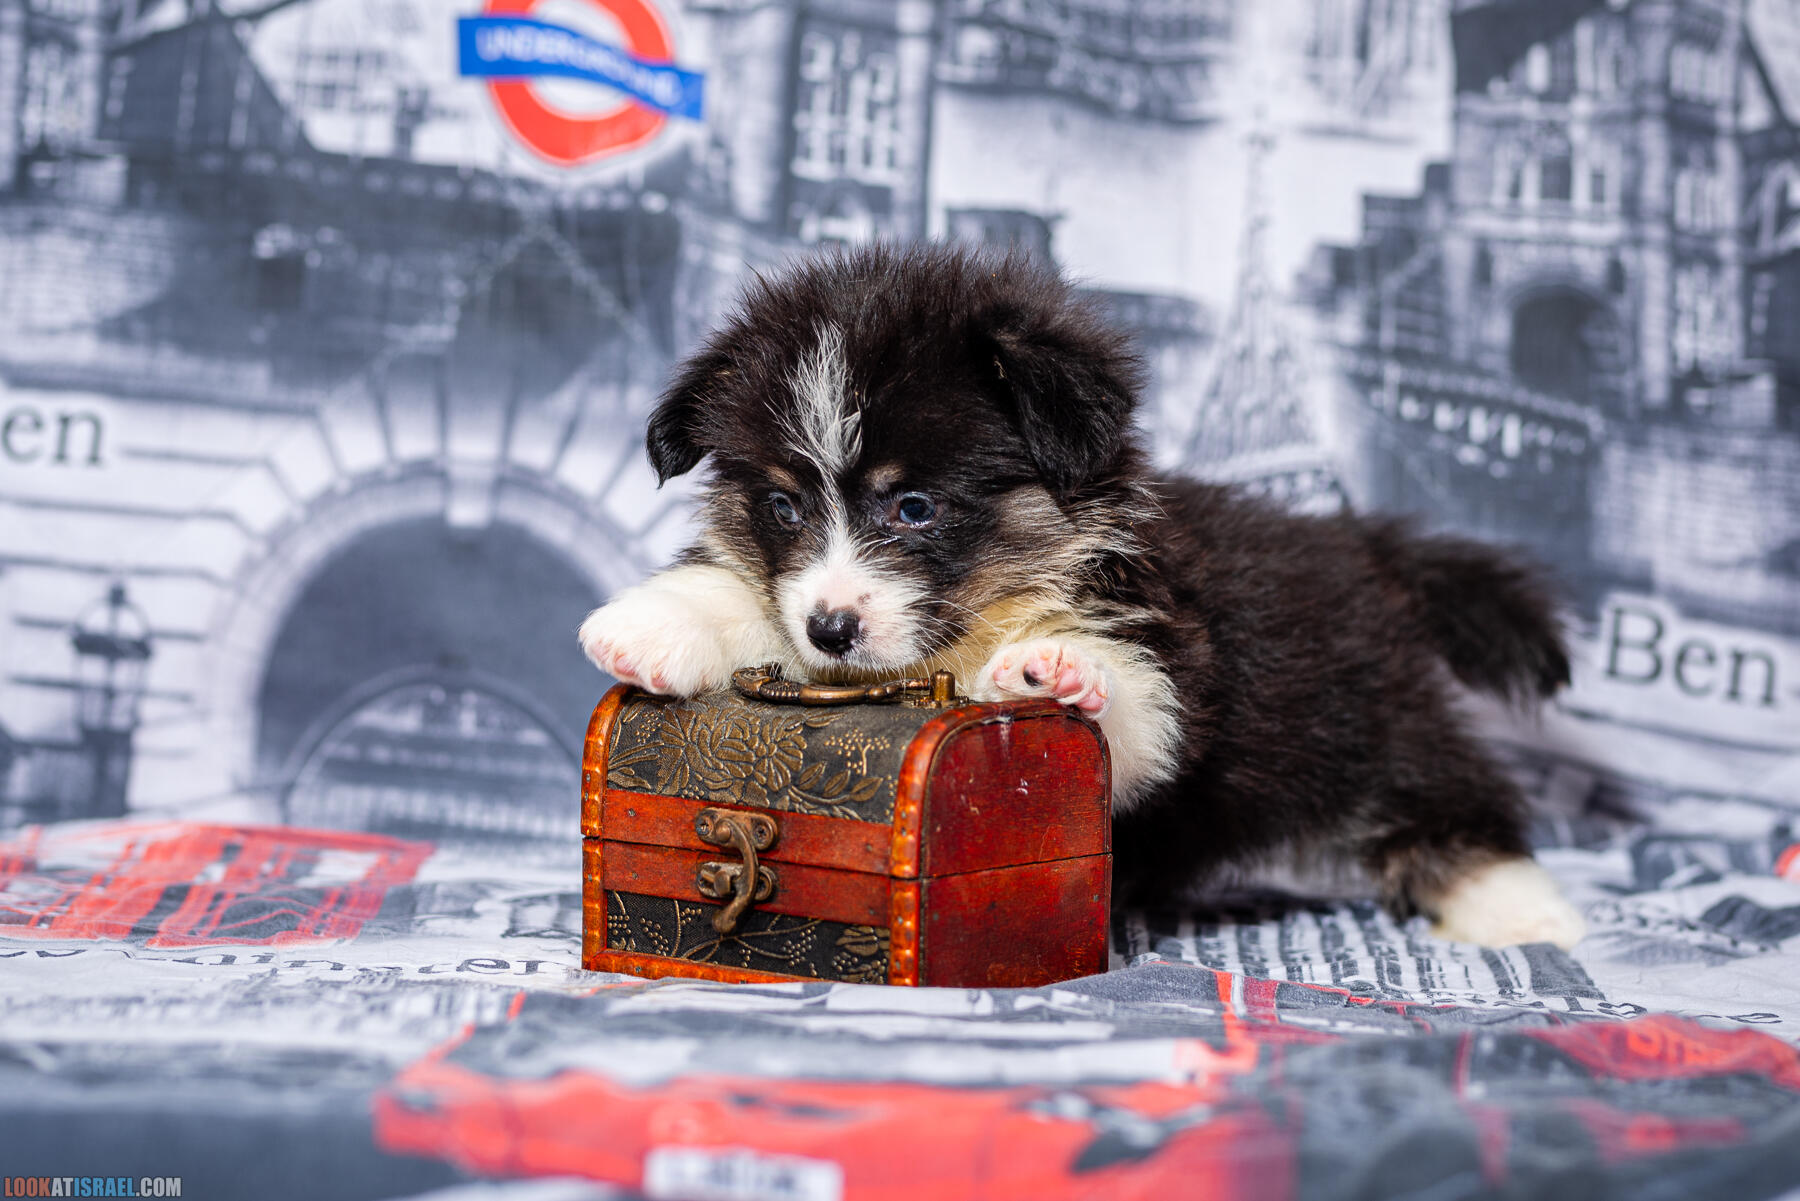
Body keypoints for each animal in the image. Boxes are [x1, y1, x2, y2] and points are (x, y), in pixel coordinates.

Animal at [579, 243, 1586, 950]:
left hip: (1375, 720)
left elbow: (1143, 718)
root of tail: (1364, 545)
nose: (833, 629)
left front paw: (1052, 668)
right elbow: (745, 594)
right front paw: (653, 626)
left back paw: (1519, 908)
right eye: (783, 505)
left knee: (1448, 790)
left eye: (915, 506)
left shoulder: (1170, 647)